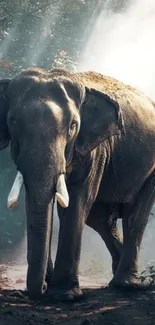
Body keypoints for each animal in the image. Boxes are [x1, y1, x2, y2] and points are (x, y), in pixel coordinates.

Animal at [0, 66, 155, 302]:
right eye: (13, 121)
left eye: (73, 125)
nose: (41, 288)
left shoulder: (94, 149)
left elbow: (76, 202)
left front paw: (64, 296)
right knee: (101, 219)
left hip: (150, 168)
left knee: (134, 216)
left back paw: (127, 285)